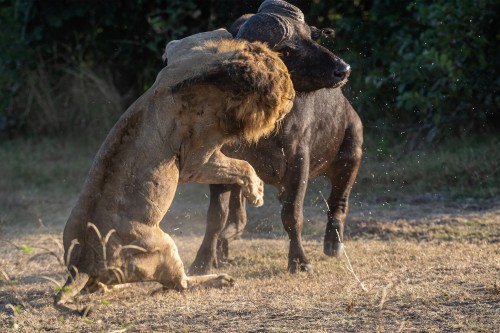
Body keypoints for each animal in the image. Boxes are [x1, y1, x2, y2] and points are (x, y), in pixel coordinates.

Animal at [54, 29, 292, 304]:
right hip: (162, 246)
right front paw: (257, 193)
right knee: (181, 284)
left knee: (100, 286)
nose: (293, 99)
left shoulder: (182, 51)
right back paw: (221, 279)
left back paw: (116, 287)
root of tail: (80, 265)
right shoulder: (196, 161)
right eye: (285, 87)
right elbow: (242, 166)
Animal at [189, 0, 362, 272]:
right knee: (237, 218)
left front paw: (300, 261)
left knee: (339, 202)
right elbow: (216, 217)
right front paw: (203, 260)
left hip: (351, 154)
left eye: (310, 36)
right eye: (288, 50)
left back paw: (334, 243)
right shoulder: (220, 161)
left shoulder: (299, 160)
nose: (342, 69)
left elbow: (292, 215)